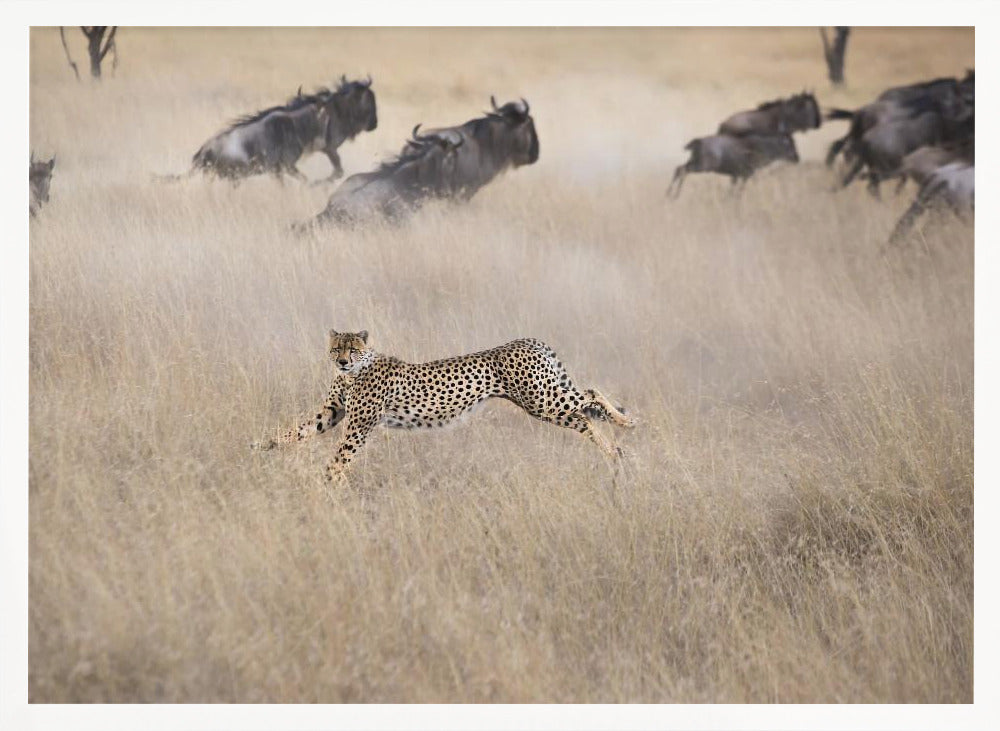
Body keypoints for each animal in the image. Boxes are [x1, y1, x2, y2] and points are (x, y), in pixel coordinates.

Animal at [252, 329, 635, 481]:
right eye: (336, 349)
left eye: (353, 350)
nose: (343, 362)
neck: (352, 374)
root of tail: (526, 340)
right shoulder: (333, 412)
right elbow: (299, 430)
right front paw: (263, 444)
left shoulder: (358, 425)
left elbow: (340, 457)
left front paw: (328, 483)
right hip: (547, 403)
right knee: (586, 418)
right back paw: (615, 452)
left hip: (543, 400)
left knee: (591, 394)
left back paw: (627, 424)